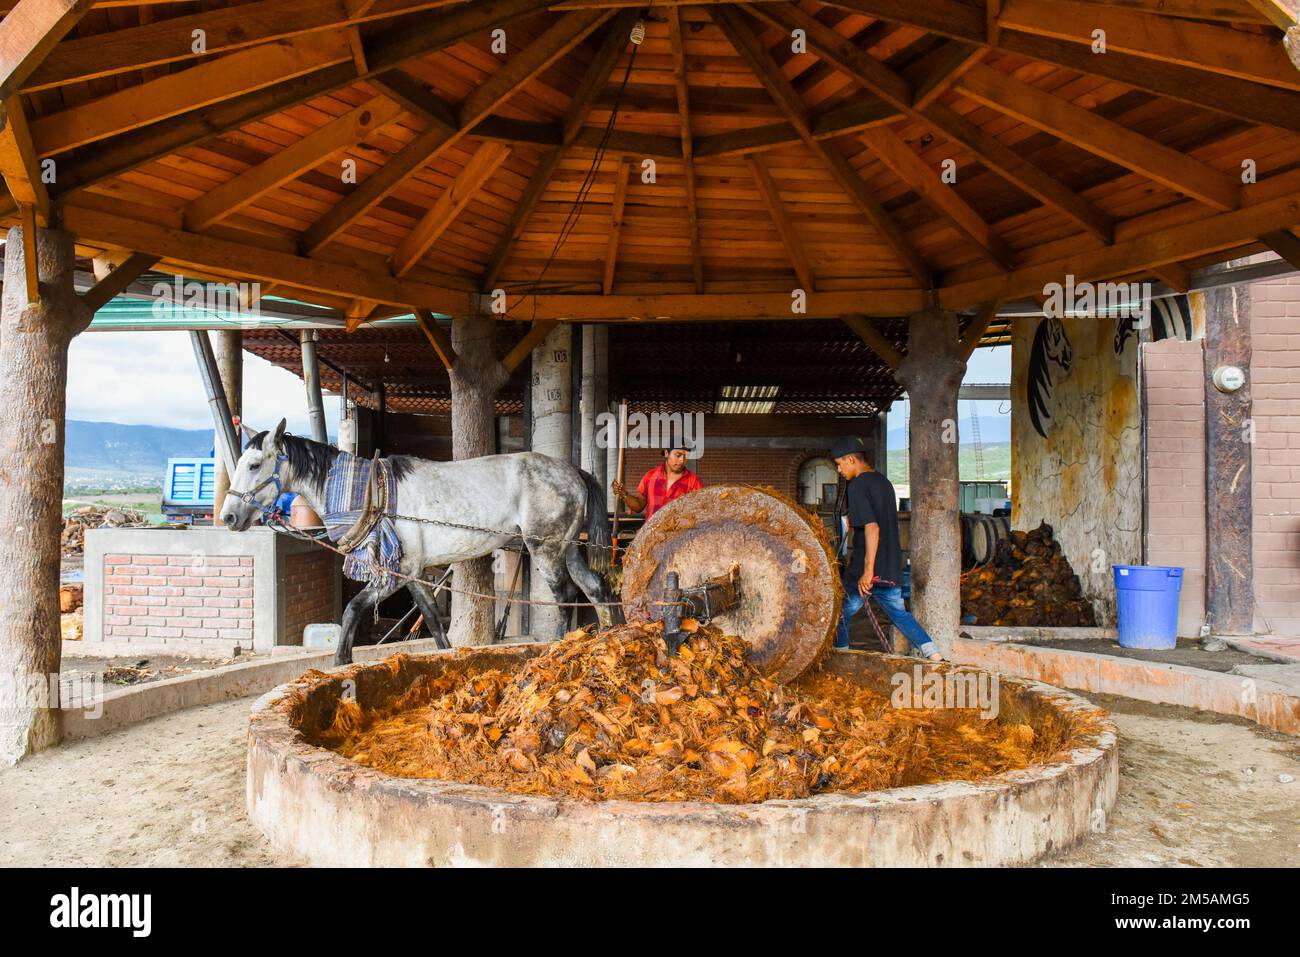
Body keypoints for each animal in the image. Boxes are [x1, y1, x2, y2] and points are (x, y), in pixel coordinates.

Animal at [219, 418, 613, 665]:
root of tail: (574, 471)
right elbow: (434, 619)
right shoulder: (412, 573)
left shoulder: (391, 575)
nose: (228, 517)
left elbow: (353, 609)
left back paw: (559, 646)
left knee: (565, 595)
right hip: (568, 548)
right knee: (596, 588)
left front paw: (341, 659)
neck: (371, 495)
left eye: (254, 464)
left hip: (544, 548)